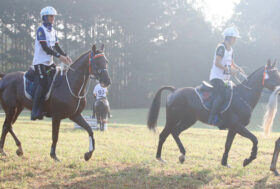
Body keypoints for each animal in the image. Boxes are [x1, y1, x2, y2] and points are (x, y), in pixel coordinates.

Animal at [147, 60, 280, 167]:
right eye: (273, 74)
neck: (243, 96)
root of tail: (174, 91)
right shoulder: (238, 126)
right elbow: (254, 139)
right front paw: (248, 160)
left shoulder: (233, 128)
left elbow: (228, 144)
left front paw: (225, 163)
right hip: (172, 119)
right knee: (164, 135)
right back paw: (164, 157)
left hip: (188, 120)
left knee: (174, 132)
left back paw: (177, 156)